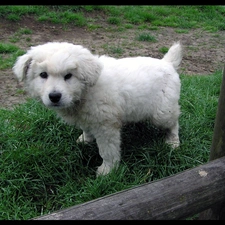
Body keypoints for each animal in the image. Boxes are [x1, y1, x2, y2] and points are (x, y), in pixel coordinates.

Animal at [12, 41, 183, 176]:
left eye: (68, 76)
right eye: (43, 75)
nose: (54, 96)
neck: (85, 91)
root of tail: (167, 63)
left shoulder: (106, 126)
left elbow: (107, 150)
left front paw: (107, 170)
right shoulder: (87, 117)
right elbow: (86, 128)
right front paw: (85, 139)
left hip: (162, 112)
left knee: (174, 122)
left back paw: (173, 142)